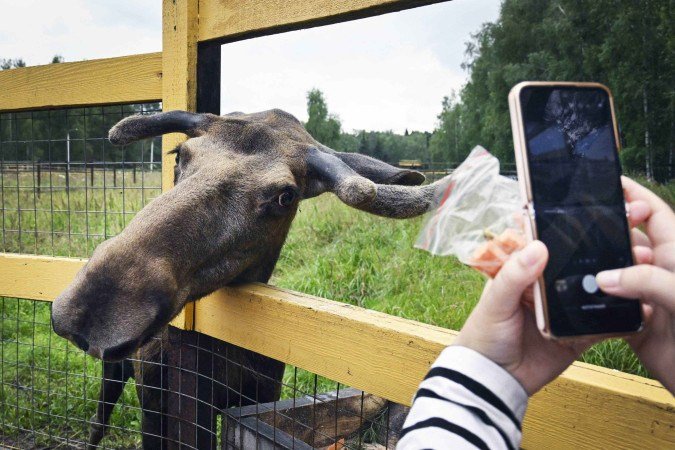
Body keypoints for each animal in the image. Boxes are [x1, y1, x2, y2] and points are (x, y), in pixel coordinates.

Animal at [51, 109, 442, 449]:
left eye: (285, 196)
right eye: (179, 155)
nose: (91, 310)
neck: (225, 356)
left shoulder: (260, 396)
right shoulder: (154, 402)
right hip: (115, 373)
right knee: (97, 424)